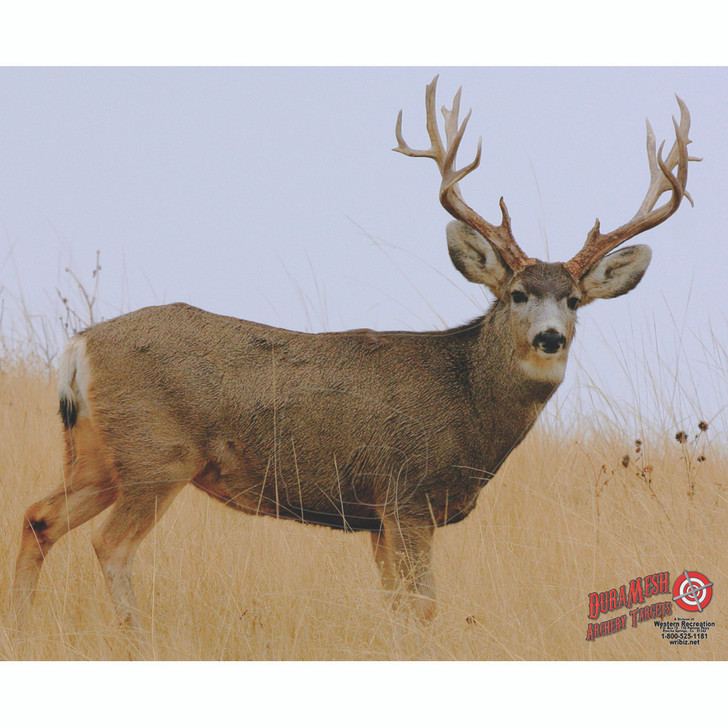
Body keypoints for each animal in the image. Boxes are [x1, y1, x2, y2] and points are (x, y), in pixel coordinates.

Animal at [13, 77, 697, 636]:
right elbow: (423, 607)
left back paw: (21, 628)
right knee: (109, 545)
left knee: (38, 516)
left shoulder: (376, 518)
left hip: (98, 453)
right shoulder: (407, 495)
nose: (551, 337)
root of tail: (78, 345)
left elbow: (396, 606)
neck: (469, 406)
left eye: (576, 300)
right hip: (157, 453)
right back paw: (136, 638)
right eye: (518, 293)